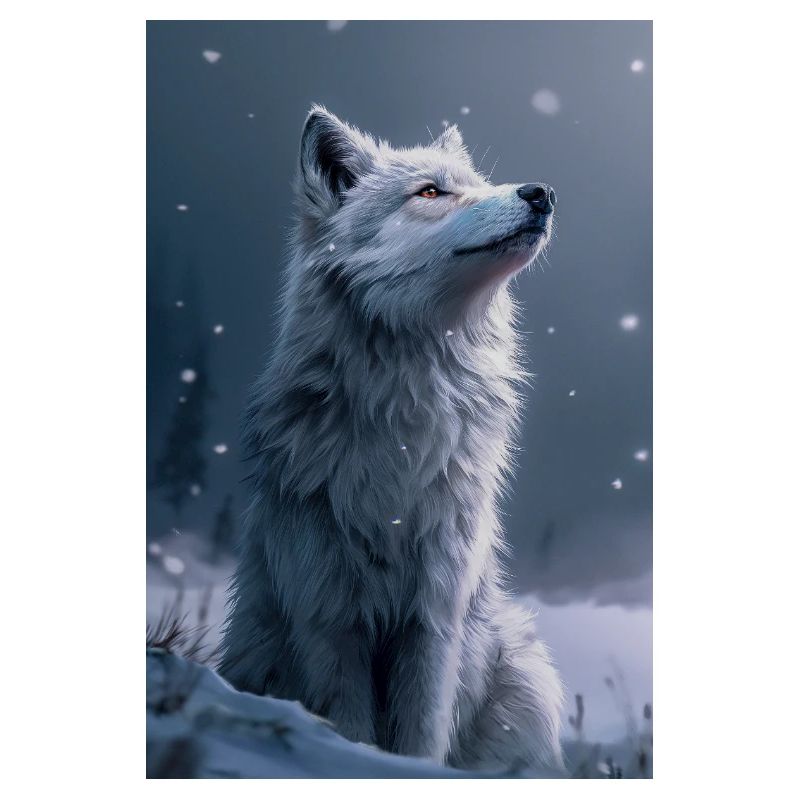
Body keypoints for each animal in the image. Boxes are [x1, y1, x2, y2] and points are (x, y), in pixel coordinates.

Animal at [219, 106, 564, 772]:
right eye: (430, 193)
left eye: (480, 182)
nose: (542, 193)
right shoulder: (329, 619)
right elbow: (349, 728)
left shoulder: (435, 618)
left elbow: (422, 735)